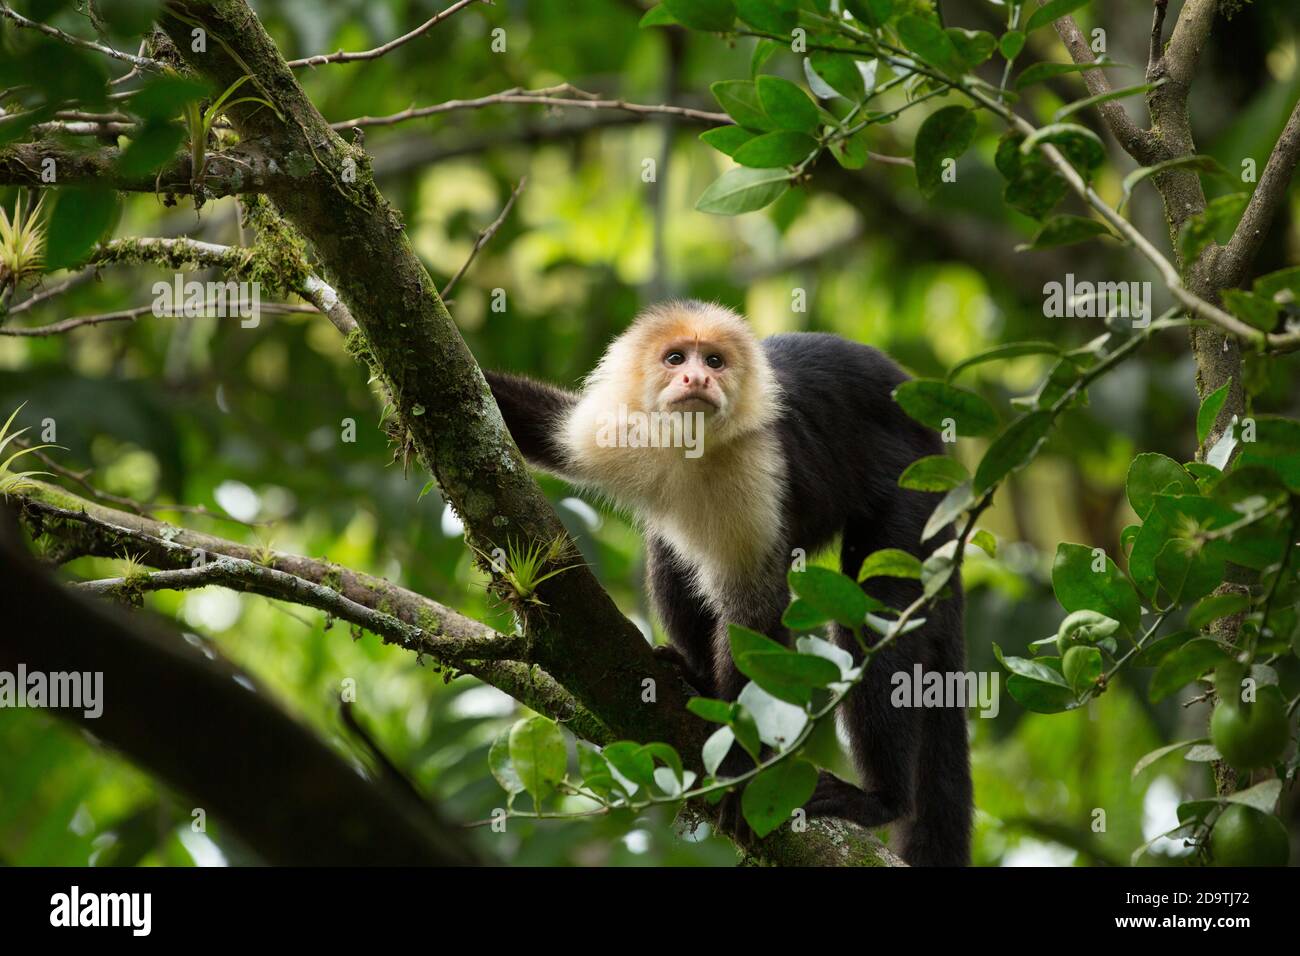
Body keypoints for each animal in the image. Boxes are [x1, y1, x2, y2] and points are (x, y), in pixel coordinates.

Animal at [483, 300, 972, 868]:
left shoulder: (758, 466)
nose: (696, 377)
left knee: (874, 620)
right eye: (676, 358)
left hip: (915, 487)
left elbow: (754, 615)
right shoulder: (622, 428)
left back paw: (880, 800)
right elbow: (538, 426)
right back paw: (696, 677)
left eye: (714, 361)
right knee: (670, 552)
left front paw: (742, 763)